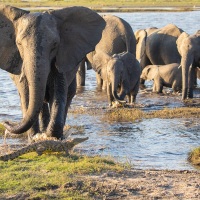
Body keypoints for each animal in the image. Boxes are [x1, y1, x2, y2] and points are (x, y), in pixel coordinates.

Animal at [0, 5, 105, 139]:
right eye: (19, 44)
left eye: (55, 44)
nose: (5, 122)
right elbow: (26, 94)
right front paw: (34, 136)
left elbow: (57, 92)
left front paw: (53, 136)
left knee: (68, 94)